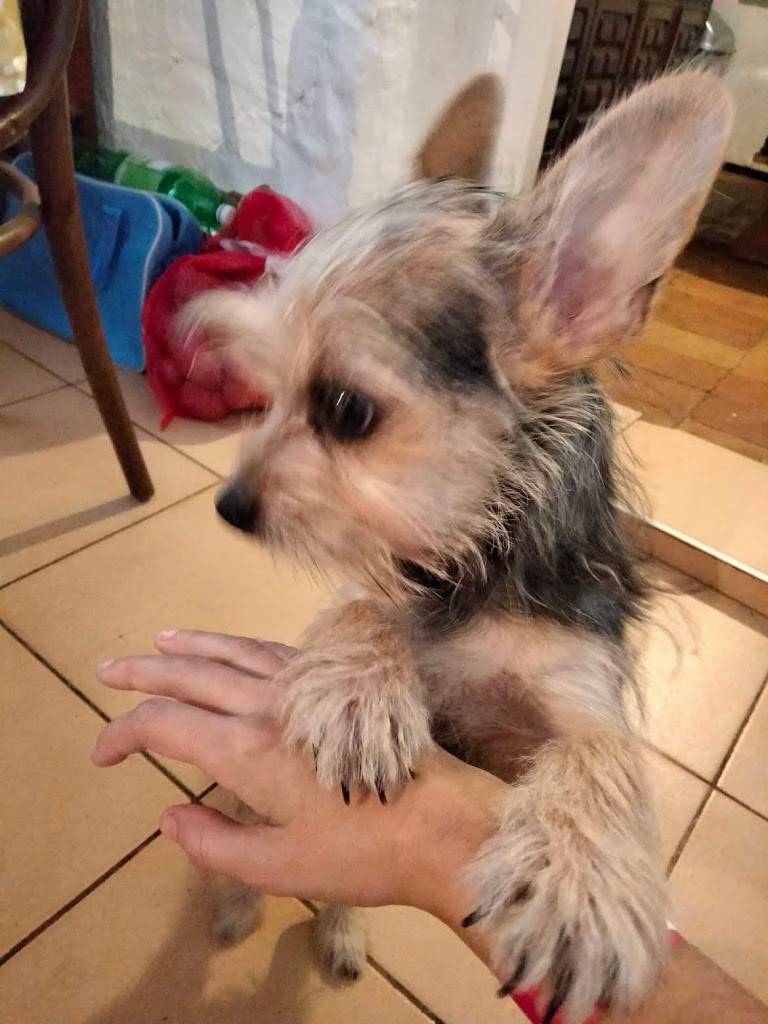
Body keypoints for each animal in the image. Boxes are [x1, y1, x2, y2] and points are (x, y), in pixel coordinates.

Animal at [185, 71, 732, 1022]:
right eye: (269, 388)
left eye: (345, 409)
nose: (231, 504)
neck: (469, 560)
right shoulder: (387, 578)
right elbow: (362, 600)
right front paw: (362, 690)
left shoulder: (565, 698)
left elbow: (601, 750)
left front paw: (580, 886)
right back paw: (246, 900)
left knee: (339, 886)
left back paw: (341, 931)